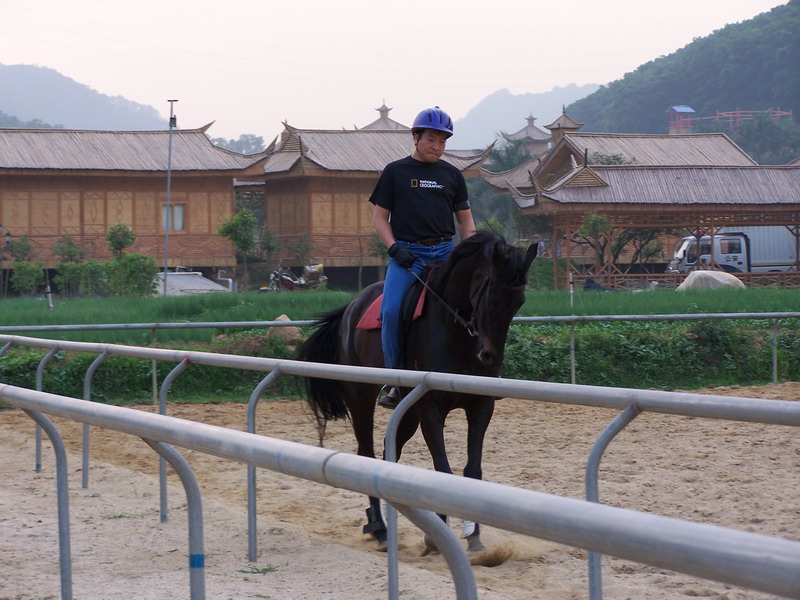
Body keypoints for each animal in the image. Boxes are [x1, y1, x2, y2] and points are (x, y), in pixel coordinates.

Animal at [296, 231, 536, 552]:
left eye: (519, 302)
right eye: (491, 296)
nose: (490, 357)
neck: (456, 333)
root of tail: (352, 306)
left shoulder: (481, 406)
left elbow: (473, 470)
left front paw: (474, 536)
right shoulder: (431, 409)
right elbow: (443, 470)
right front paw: (436, 537)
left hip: (407, 412)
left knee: (389, 451)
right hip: (361, 396)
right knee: (366, 451)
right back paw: (379, 527)